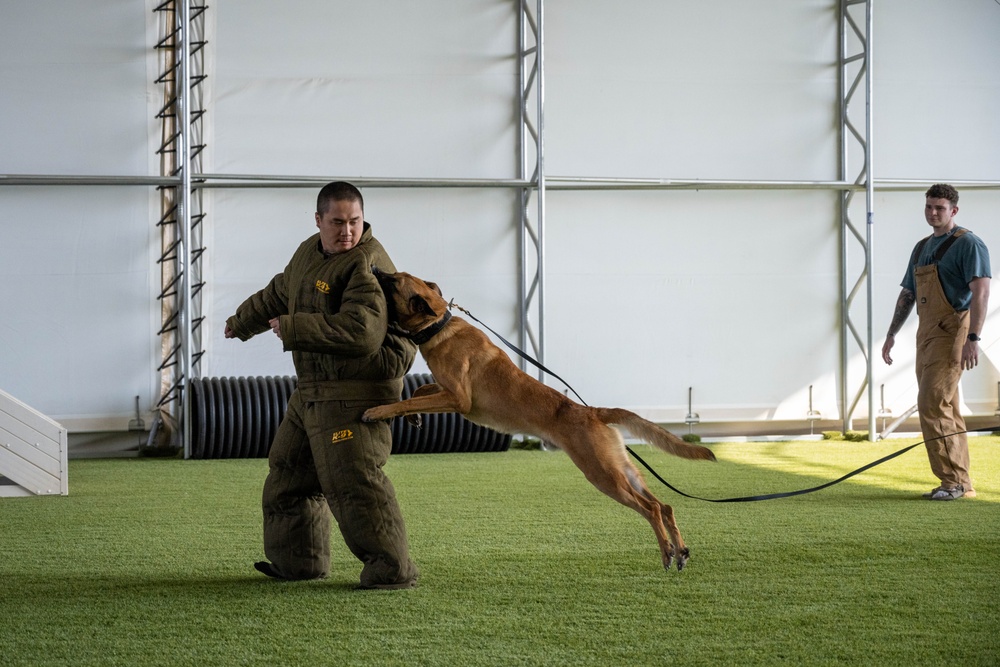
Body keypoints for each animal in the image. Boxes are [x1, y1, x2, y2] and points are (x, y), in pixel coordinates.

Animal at [364, 268, 716, 572]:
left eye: (393, 281)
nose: (375, 270)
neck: (439, 323)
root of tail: (591, 411)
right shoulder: (445, 390)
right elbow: (419, 389)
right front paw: (414, 417)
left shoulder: (458, 399)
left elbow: (406, 398)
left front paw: (378, 412)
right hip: (623, 469)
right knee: (665, 505)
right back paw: (680, 551)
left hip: (603, 475)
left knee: (652, 508)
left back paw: (667, 553)